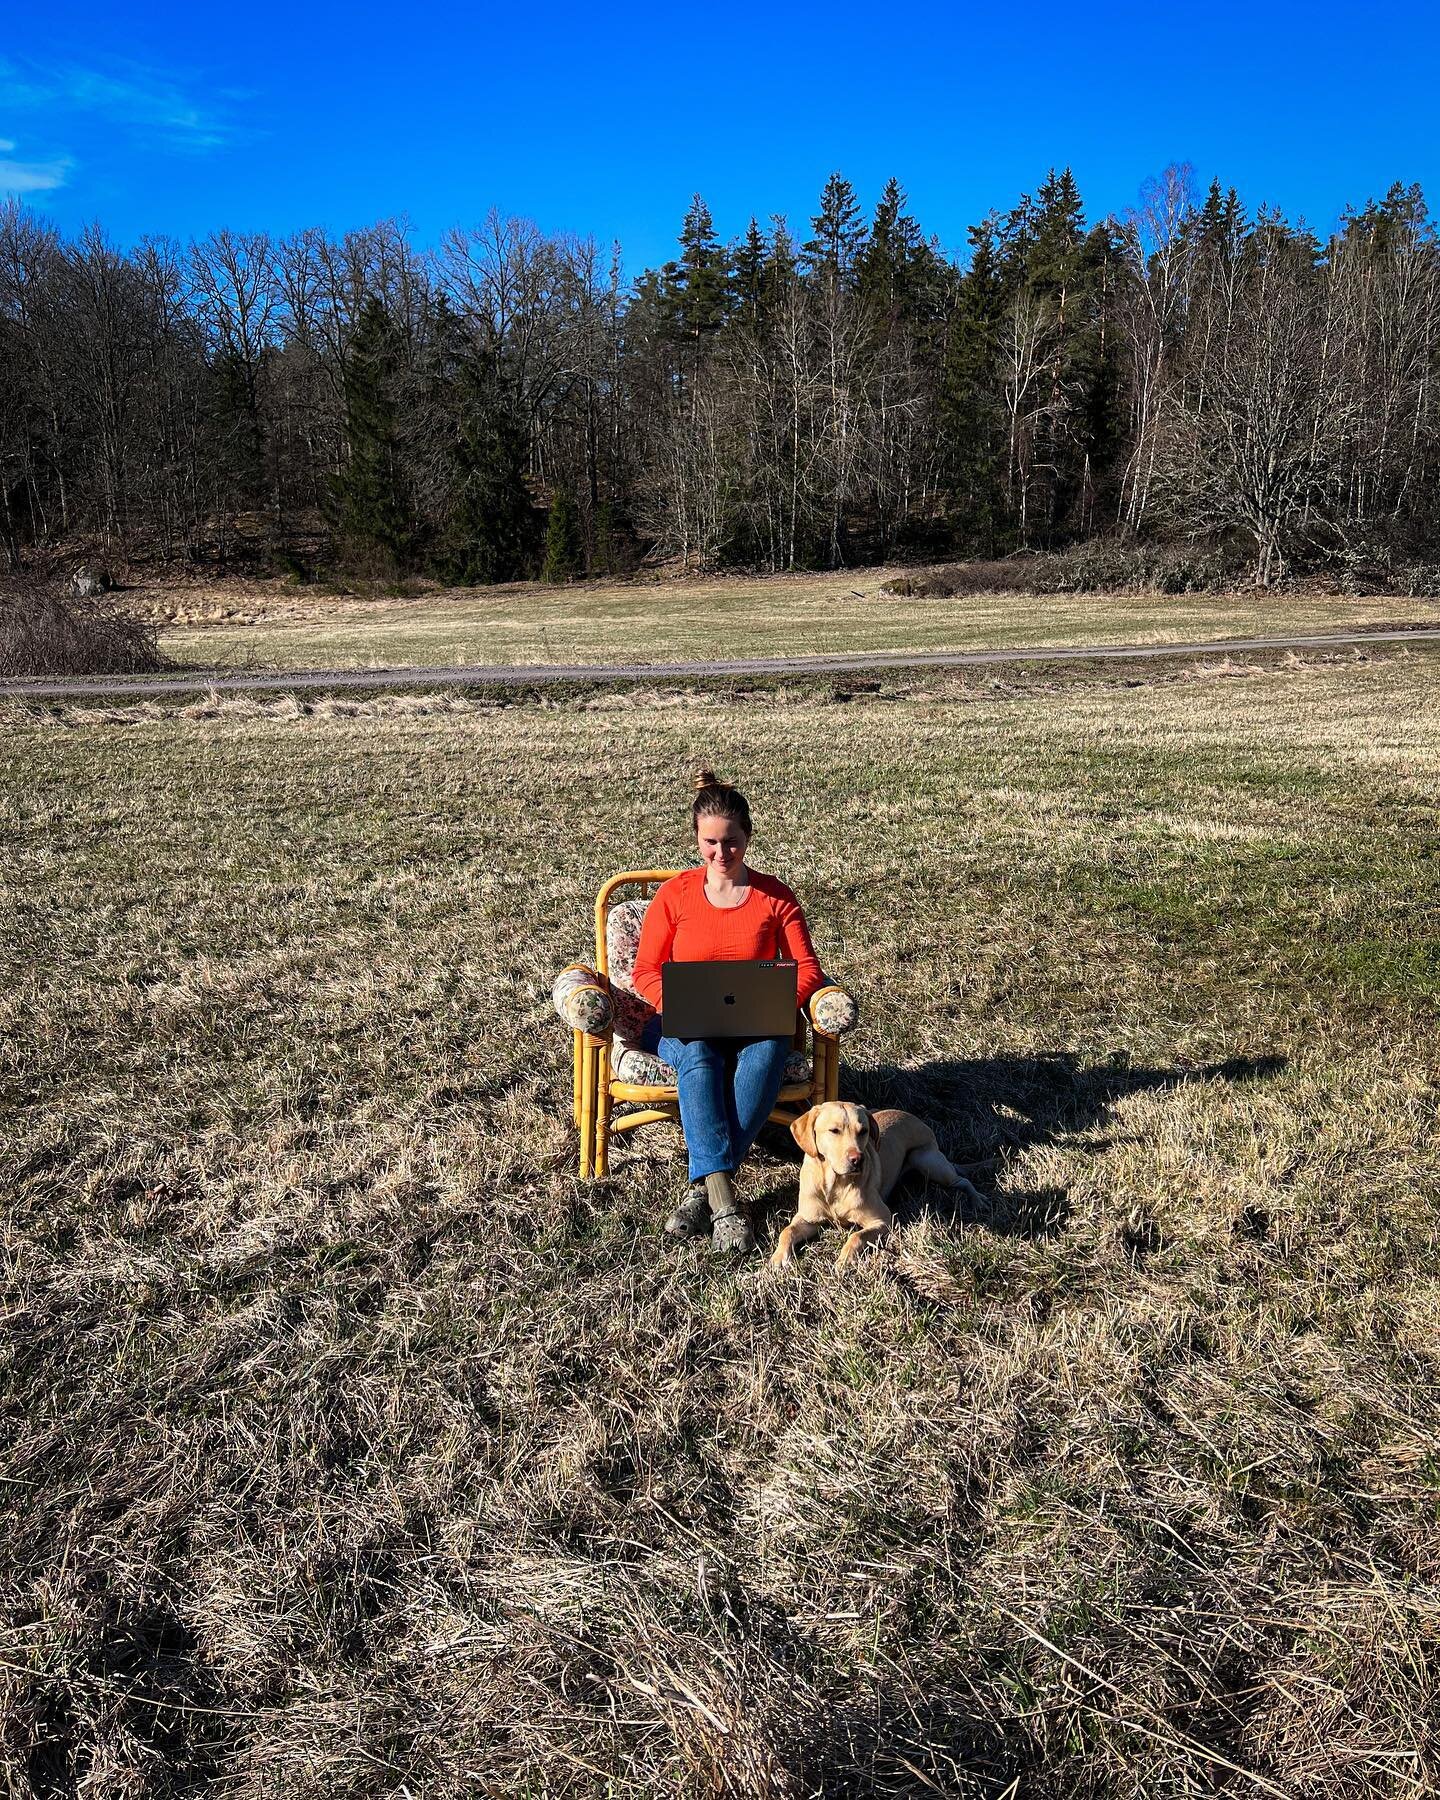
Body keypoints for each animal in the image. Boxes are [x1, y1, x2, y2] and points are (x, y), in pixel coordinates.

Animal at [770, 1094, 986, 1267]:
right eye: (834, 1130)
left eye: (863, 1131)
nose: (858, 1159)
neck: (835, 1185)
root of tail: (919, 1121)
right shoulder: (807, 1219)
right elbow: (787, 1231)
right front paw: (778, 1258)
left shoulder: (883, 1220)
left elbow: (856, 1236)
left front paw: (845, 1260)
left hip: (926, 1160)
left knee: (963, 1181)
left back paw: (977, 1200)